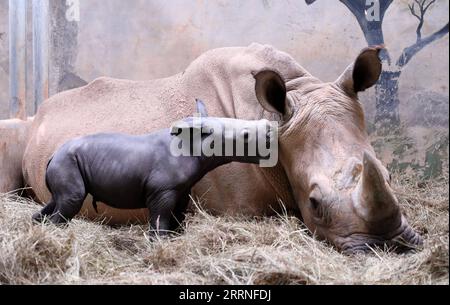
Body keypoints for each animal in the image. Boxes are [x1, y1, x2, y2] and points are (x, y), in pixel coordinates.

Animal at [32, 100, 274, 235]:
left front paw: (176, 237)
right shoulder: (162, 190)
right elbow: (161, 218)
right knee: (71, 200)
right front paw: (159, 240)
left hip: (64, 162)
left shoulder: (181, 190)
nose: (270, 130)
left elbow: (177, 216)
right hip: (67, 162)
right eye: (245, 135)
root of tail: (53, 155)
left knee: (58, 199)